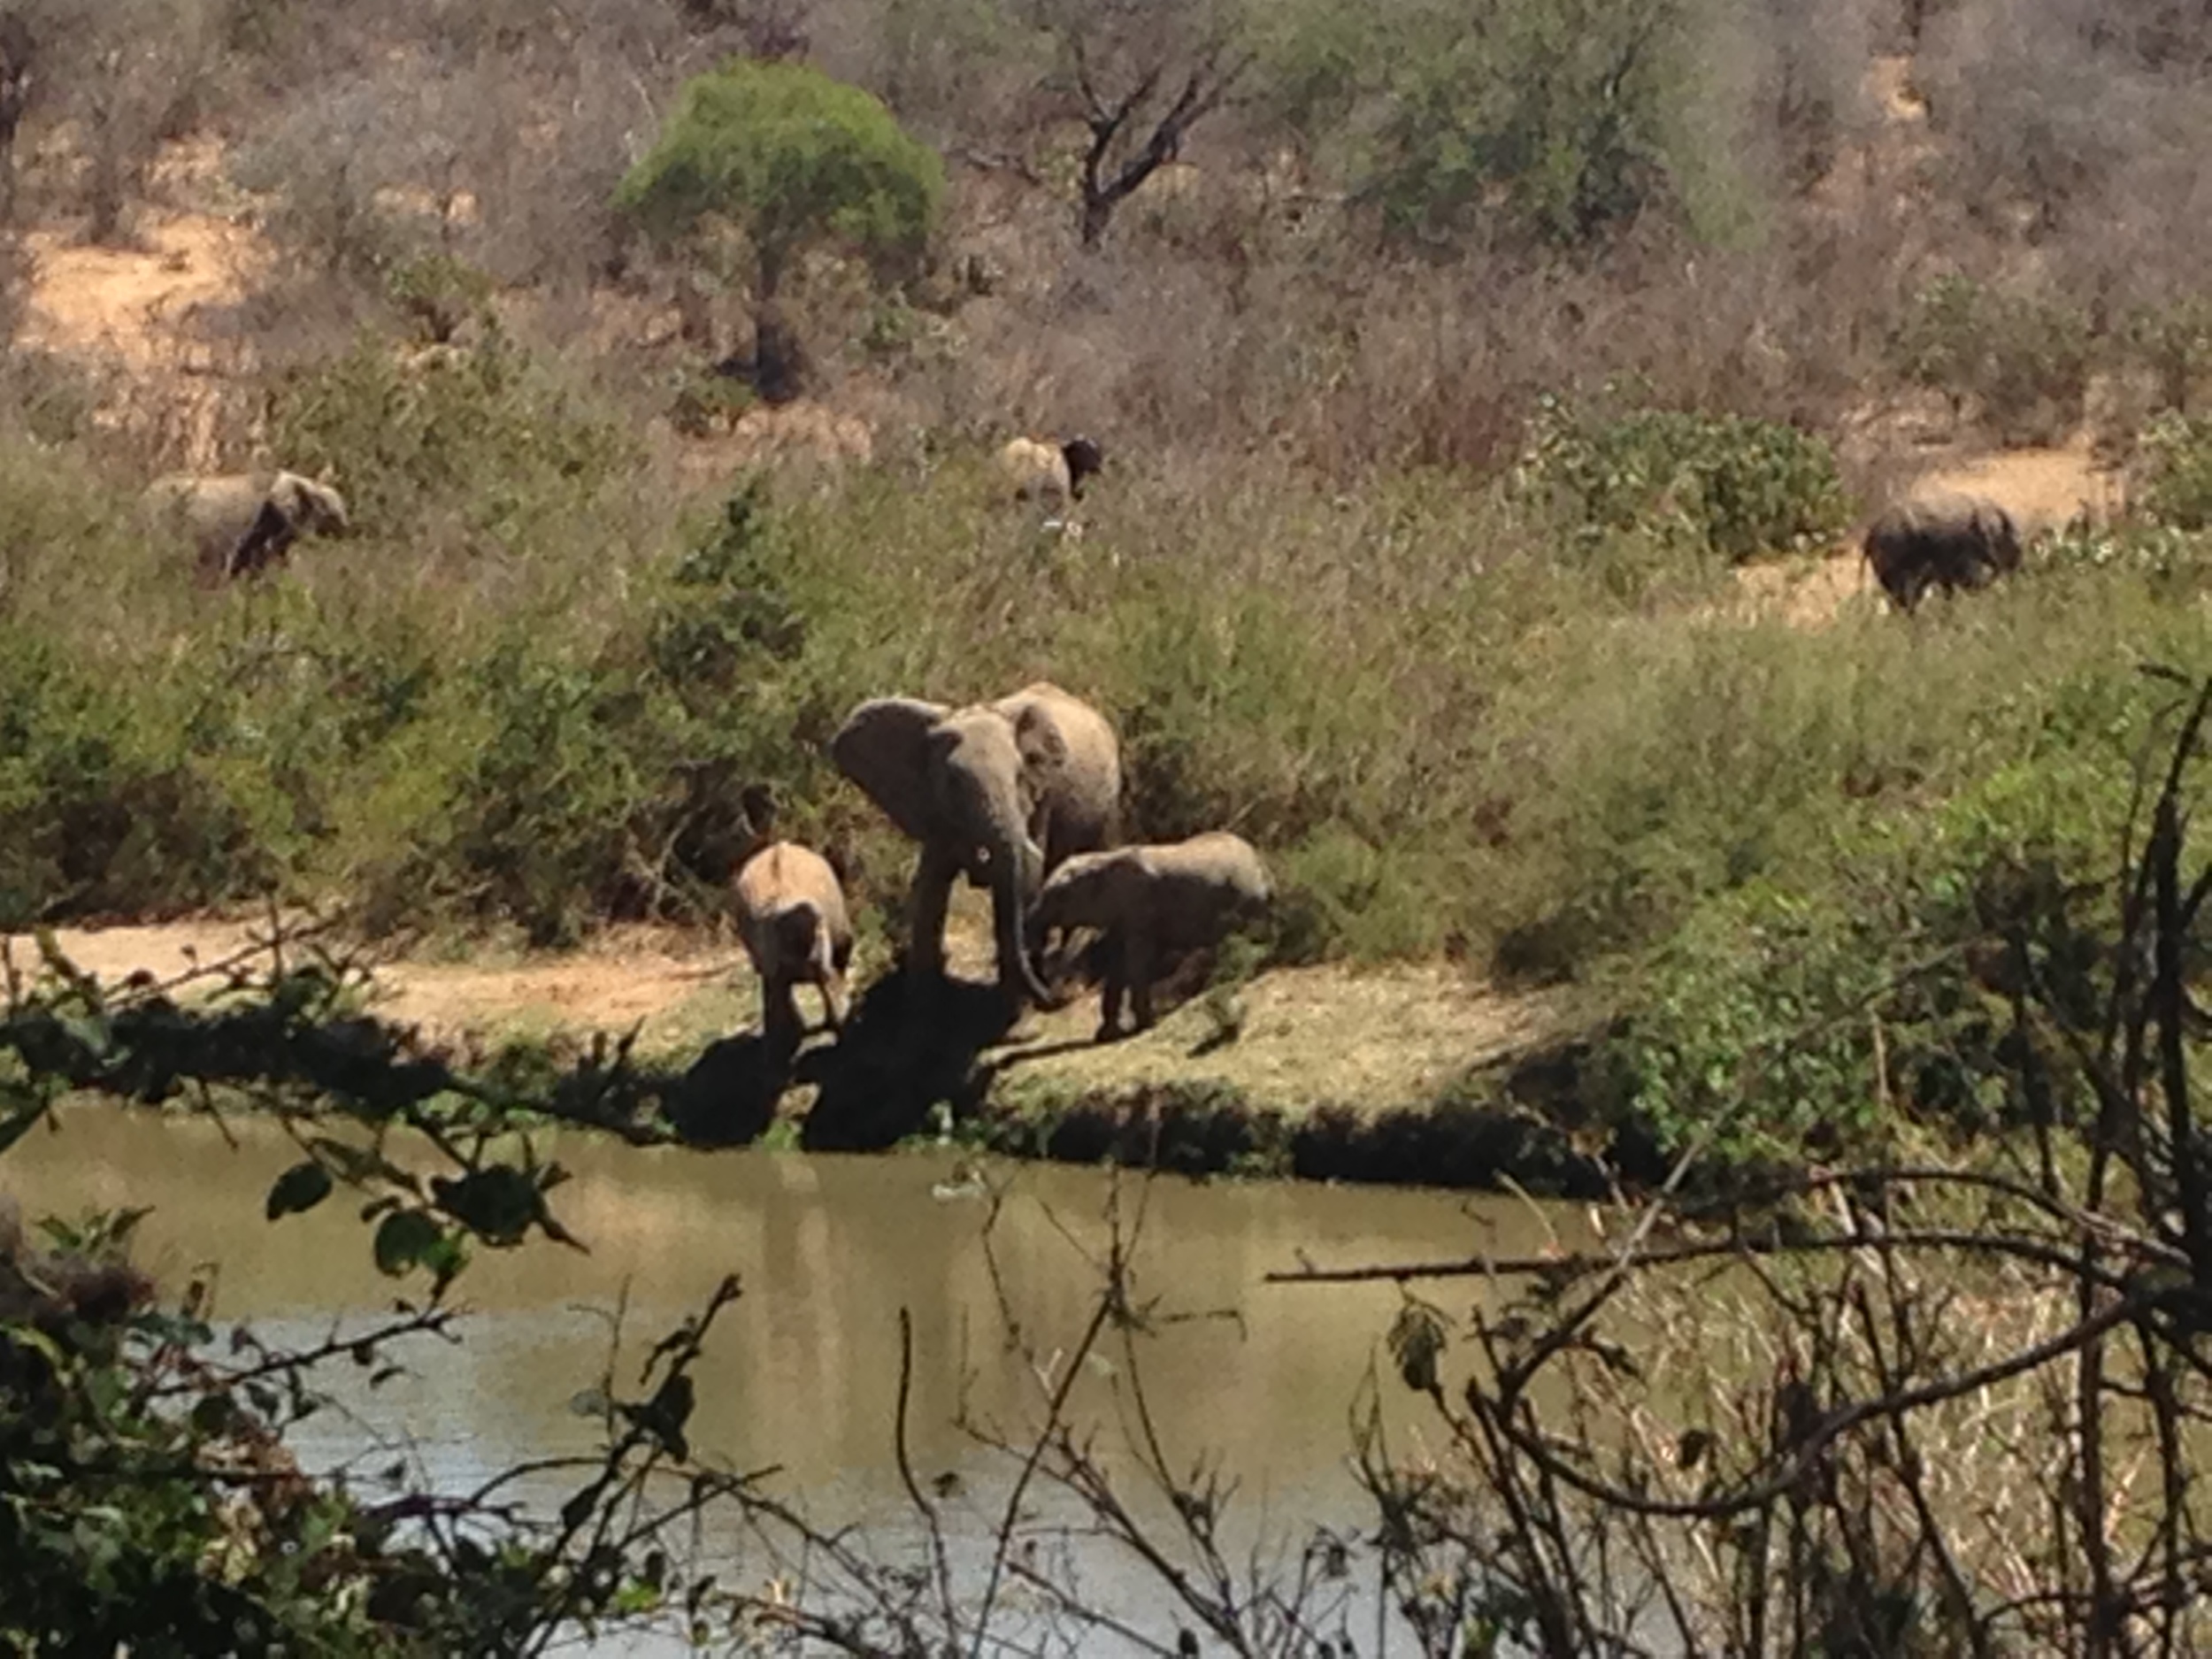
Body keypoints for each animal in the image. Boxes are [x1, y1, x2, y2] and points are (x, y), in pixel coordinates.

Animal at [836, 681, 1133, 1009]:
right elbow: (929, 885)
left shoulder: (1041, 797)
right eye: (953, 783)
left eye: (1019, 777)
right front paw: (921, 1005)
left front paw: (1012, 1004)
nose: (1058, 996)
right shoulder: (935, 809)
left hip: (1107, 806)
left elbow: (1023, 879)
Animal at [1026, 832, 1274, 1040]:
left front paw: (1145, 1025)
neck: (1100, 860)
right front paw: (1106, 1035)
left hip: (1248, 895)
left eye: (1058, 895)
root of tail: (1259, 859)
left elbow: (1135, 962)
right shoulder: (1121, 916)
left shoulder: (1140, 907)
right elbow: (1117, 966)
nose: (1056, 1000)